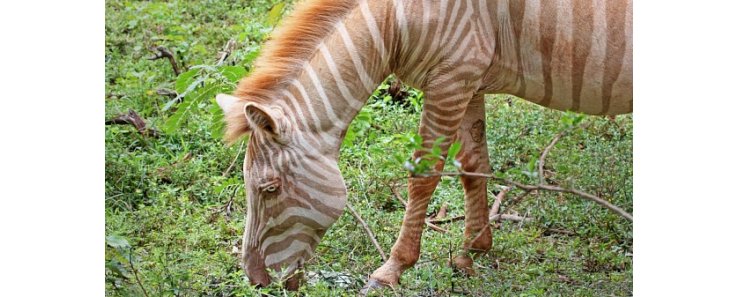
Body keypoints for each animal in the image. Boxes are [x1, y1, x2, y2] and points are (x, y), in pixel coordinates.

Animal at [214, 0, 632, 290]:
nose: (256, 281)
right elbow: (473, 166)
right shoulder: (469, 82)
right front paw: (471, 253)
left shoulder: (451, 79)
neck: (394, 19)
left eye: (269, 189)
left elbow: (424, 176)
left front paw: (392, 269)